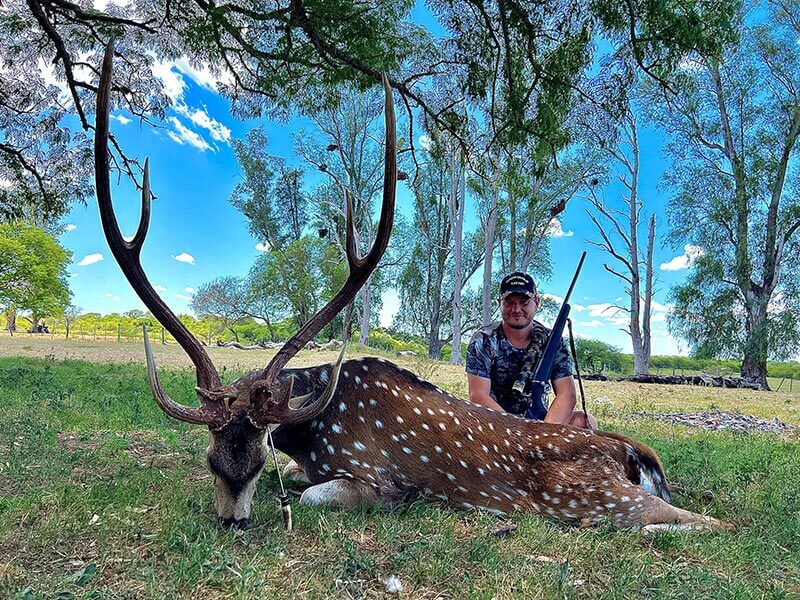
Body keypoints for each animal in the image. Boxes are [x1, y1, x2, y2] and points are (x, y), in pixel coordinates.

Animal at [95, 43, 726, 533]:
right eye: (211, 459)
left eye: (252, 462)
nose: (232, 520)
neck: (313, 429)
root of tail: (629, 450)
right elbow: (297, 479)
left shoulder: (372, 476)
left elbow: (314, 493)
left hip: (594, 499)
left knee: (704, 522)